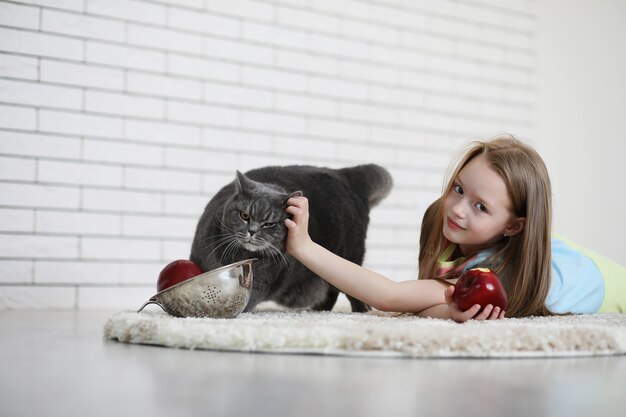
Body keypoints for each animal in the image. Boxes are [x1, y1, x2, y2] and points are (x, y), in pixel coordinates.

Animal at [188, 164, 390, 310]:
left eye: (269, 224)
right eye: (244, 215)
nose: (252, 231)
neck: (237, 255)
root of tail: (344, 173)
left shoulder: (260, 279)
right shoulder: (196, 258)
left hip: (350, 253)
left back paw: (361, 310)